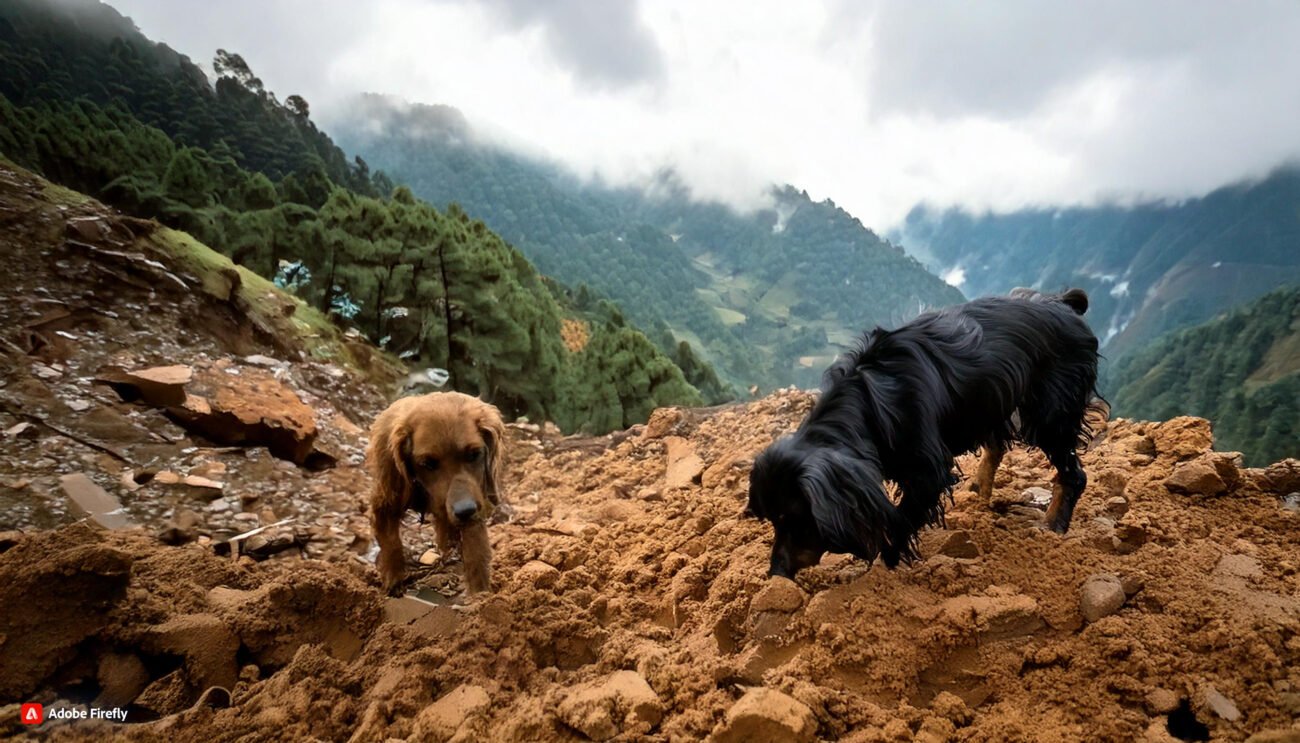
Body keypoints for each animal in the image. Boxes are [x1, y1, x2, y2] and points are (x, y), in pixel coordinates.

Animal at [371, 392, 506, 594]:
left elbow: (477, 556)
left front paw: (480, 595)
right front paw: (393, 582)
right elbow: (391, 543)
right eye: (427, 463)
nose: (465, 511)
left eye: (474, 454)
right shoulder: (386, 500)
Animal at [754, 287, 1097, 576]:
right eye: (772, 521)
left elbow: (899, 522)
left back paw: (1054, 524)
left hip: (1051, 414)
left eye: (797, 521)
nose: (775, 573)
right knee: (997, 446)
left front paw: (881, 571)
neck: (868, 404)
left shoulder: (927, 474)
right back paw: (978, 492)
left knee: (1073, 474)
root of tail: (1064, 303)